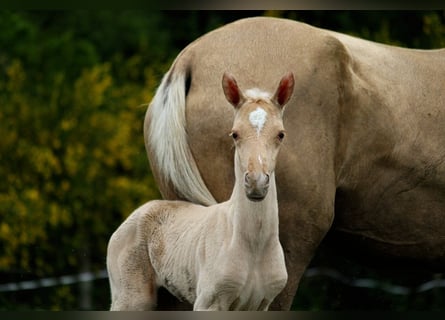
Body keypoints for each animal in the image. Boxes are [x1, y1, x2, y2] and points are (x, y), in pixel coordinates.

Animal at [106, 70, 294, 310]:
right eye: (235, 134)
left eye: (281, 134)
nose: (256, 183)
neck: (253, 245)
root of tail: (135, 215)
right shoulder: (209, 302)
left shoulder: (262, 304)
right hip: (130, 298)